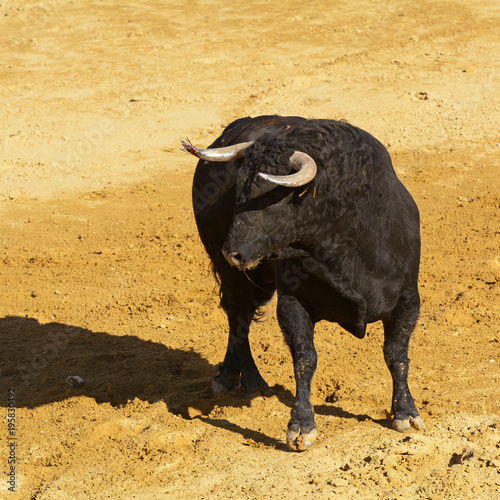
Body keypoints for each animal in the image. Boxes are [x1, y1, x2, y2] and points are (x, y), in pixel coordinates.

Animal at [184, 116, 426, 450]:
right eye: (238, 191)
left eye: (272, 197)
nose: (232, 252)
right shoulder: (292, 303)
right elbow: (304, 358)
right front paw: (301, 426)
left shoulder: (407, 299)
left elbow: (396, 354)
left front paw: (405, 413)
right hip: (236, 276)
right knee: (238, 316)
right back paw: (251, 382)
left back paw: (229, 374)